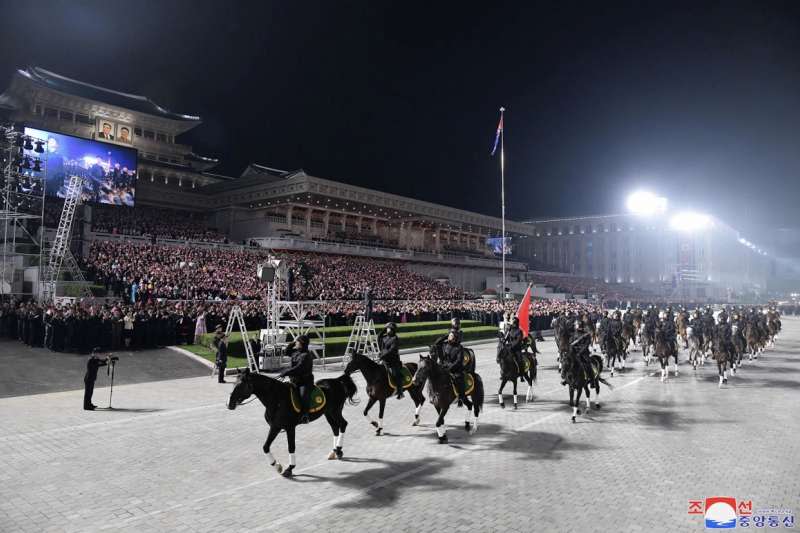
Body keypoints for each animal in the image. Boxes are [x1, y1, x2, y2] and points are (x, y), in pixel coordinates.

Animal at [228, 368, 360, 476]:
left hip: (335, 411)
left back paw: (338, 450)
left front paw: (289, 468)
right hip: (328, 413)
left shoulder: (290, 428)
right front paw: (277, 466)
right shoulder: (275, 427)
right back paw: (334, 452)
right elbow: (265, 447)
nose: (229, 404)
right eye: (233, 384)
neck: (277, 399)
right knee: (335, 428)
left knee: (343, 425)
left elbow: (291, 447)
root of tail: (337, 381)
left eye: (240, 385)